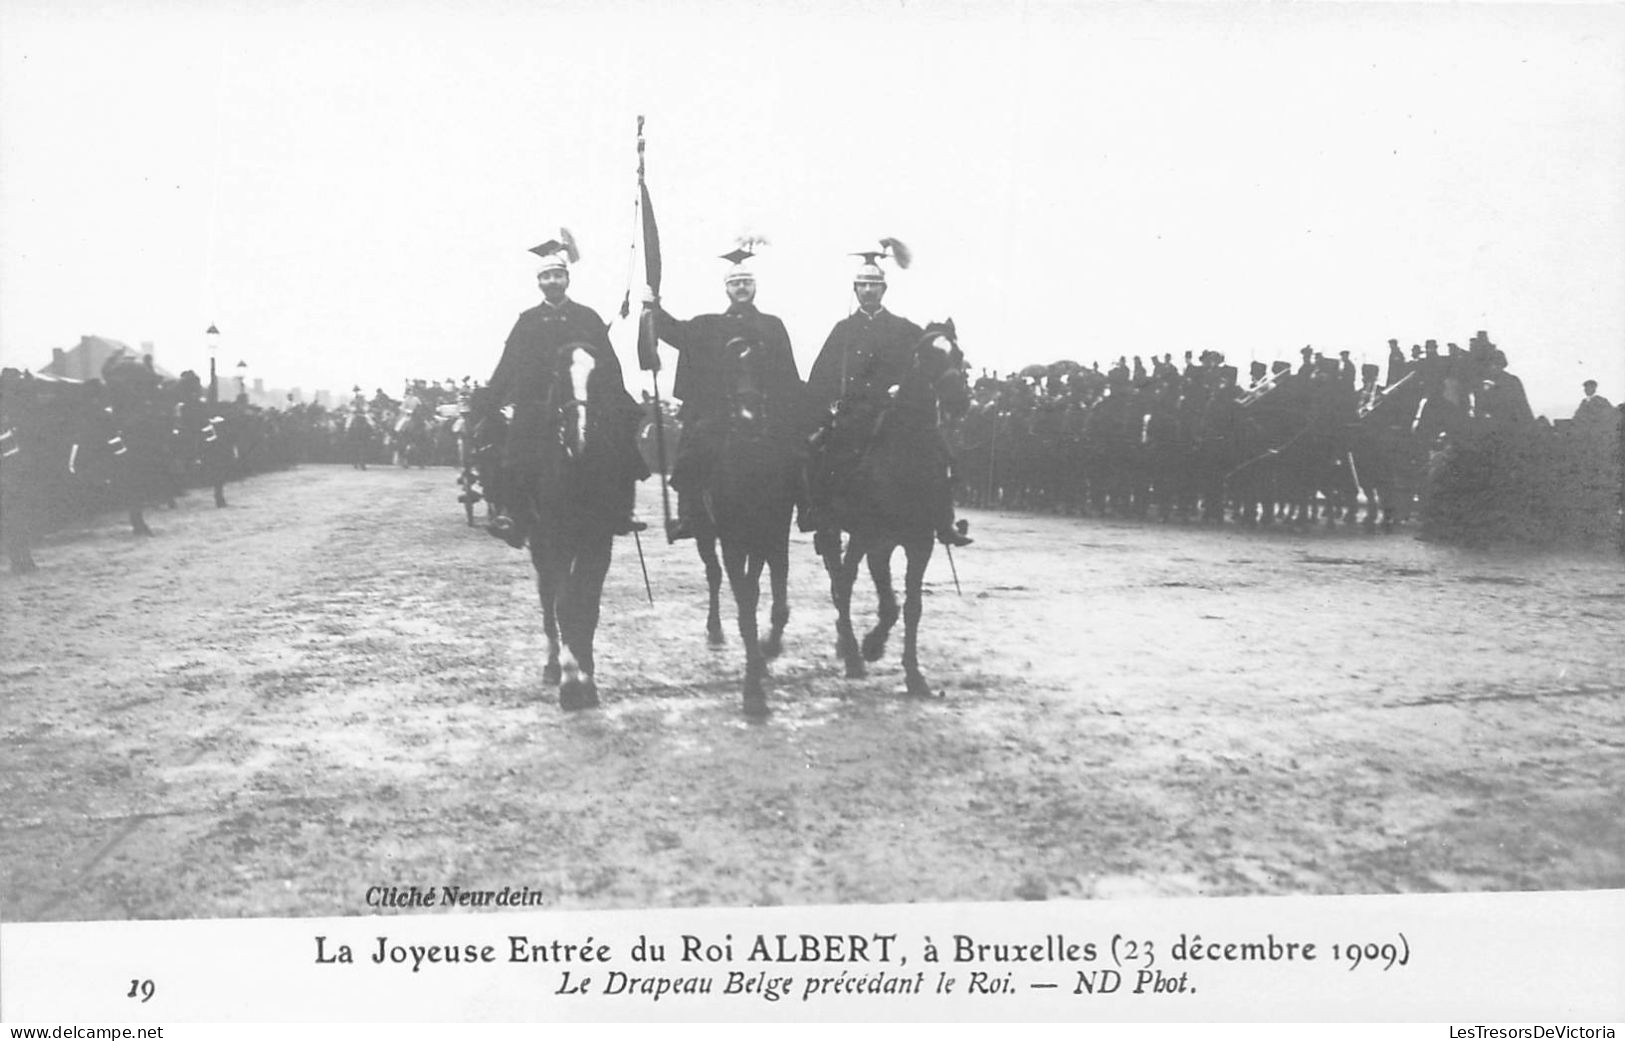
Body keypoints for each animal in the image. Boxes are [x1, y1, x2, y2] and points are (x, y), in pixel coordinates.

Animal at [520, 339, 620, 708]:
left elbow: (587, 605)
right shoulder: (556, 543)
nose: (580, 439)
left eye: (599, 375)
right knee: (548, 597)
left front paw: (587, 680)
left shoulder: (599, 543)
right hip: (540, 546)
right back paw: (552, 665)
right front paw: (569, 681)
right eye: (558, 376)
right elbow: (564, 604)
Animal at [692, 337, 806, 717]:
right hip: (704, 532)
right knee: (714, 574)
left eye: (764, 367)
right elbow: (743, 603)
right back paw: (715, 629)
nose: (748, 416)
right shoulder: (733, 540)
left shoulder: (771, 533)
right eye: (730, 371)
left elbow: (767, 595)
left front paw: (767, 648)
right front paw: (753, 691)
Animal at [812, 318, 962, 698]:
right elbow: (872, 596)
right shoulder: (870, 537)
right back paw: (851, 652)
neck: (907, 456)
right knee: (842, 583)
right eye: (927, 356)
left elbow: (910, 606)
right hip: (838, 530)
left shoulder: (919, 543)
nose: (960, 400)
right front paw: (867, 648)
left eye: (959, 355)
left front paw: (913, 674)